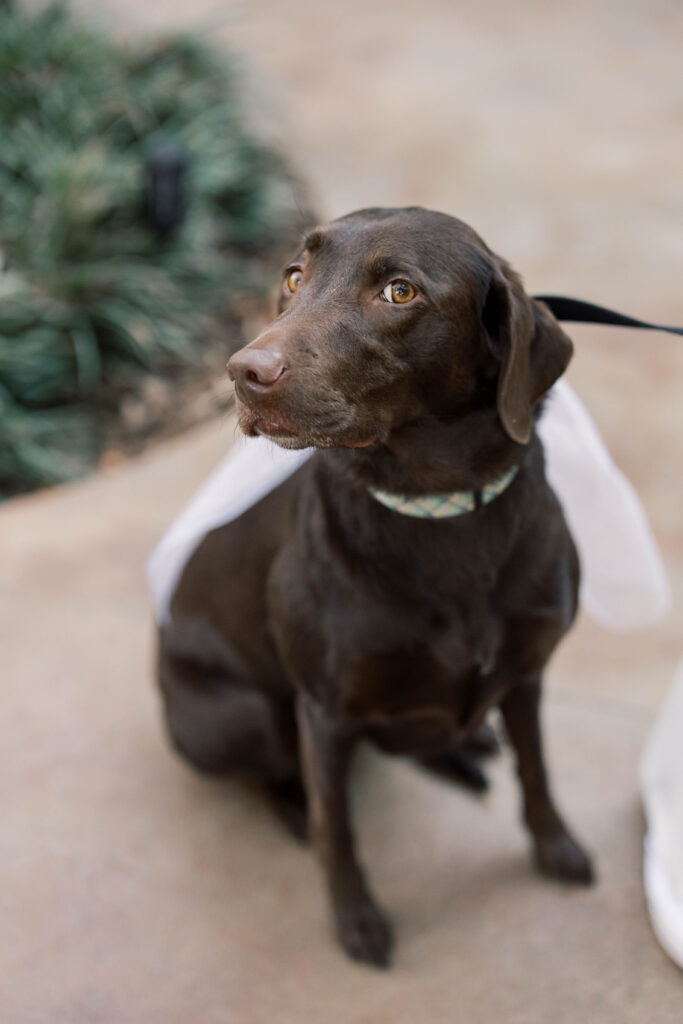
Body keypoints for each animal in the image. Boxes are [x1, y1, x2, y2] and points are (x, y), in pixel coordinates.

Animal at [157, 205, 593, 966]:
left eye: (399, 292)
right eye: (293, 276)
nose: (242, 372)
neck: (438, 507)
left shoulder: (526, 671)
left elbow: (537, 768)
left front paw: (555, 847)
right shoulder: (326, 711)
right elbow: (338, 829)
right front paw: (355, 919)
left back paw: (467, 745)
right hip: (240, 715)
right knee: (279, 774)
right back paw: (297, 808)